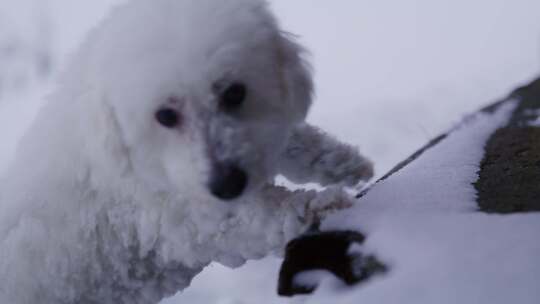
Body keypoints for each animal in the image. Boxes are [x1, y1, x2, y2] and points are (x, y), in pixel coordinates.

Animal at [0, 0, 372, 304]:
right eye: (165, 116)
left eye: (234, 93)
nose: (227, 185)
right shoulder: (176, 220)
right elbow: (261, 217)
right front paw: (317, 204)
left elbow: (291, 144)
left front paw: (342, 162)